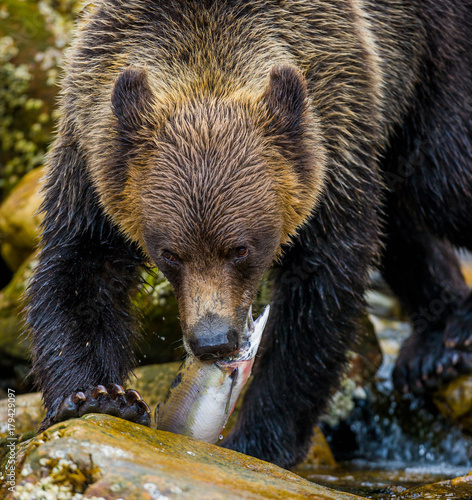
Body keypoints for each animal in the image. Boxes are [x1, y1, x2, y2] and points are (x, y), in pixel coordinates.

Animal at [27, 0, 472, 468]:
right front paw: (98, 397)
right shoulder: (94, 156)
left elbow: (319, 292)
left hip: (431, 55)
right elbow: (80, 270)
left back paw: (453, 335)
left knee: (442, 175)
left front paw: (258, 439)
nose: (213, 341)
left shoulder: (334, 136)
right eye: (170, 253)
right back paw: (432, 349)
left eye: (239, 249)